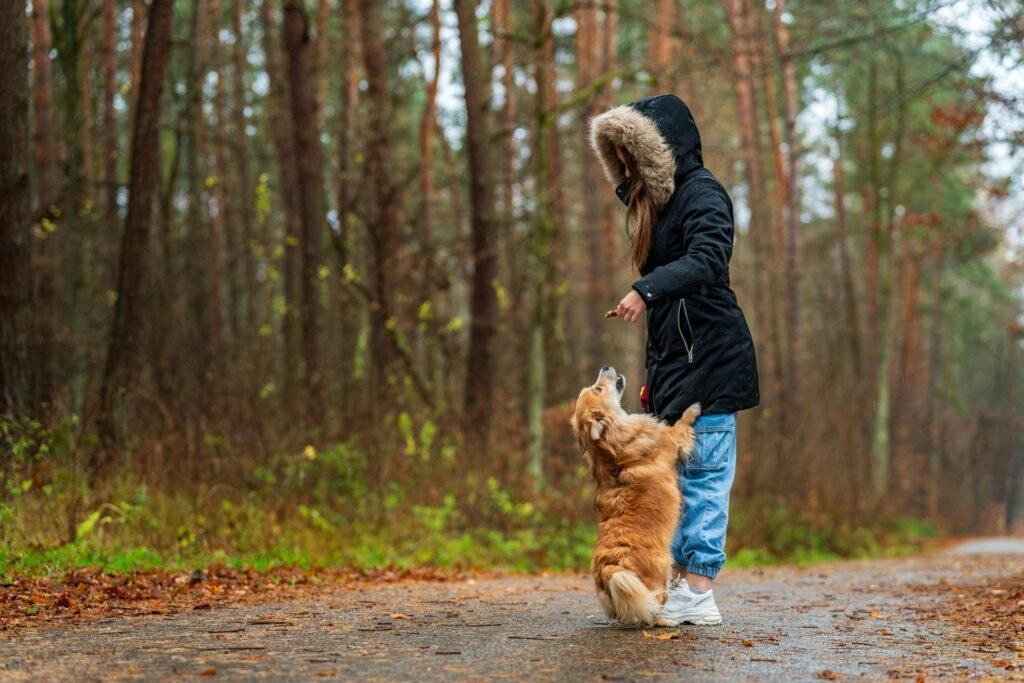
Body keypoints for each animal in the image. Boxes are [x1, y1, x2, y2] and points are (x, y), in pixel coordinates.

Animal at [573, 366, 700, 626]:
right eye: (598, 388)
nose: (605, 366)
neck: (612, 452)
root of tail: (611, 570)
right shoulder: (673, 438)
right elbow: (682, 423)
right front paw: (693, 408)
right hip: (661, 570)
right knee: (655, 605)